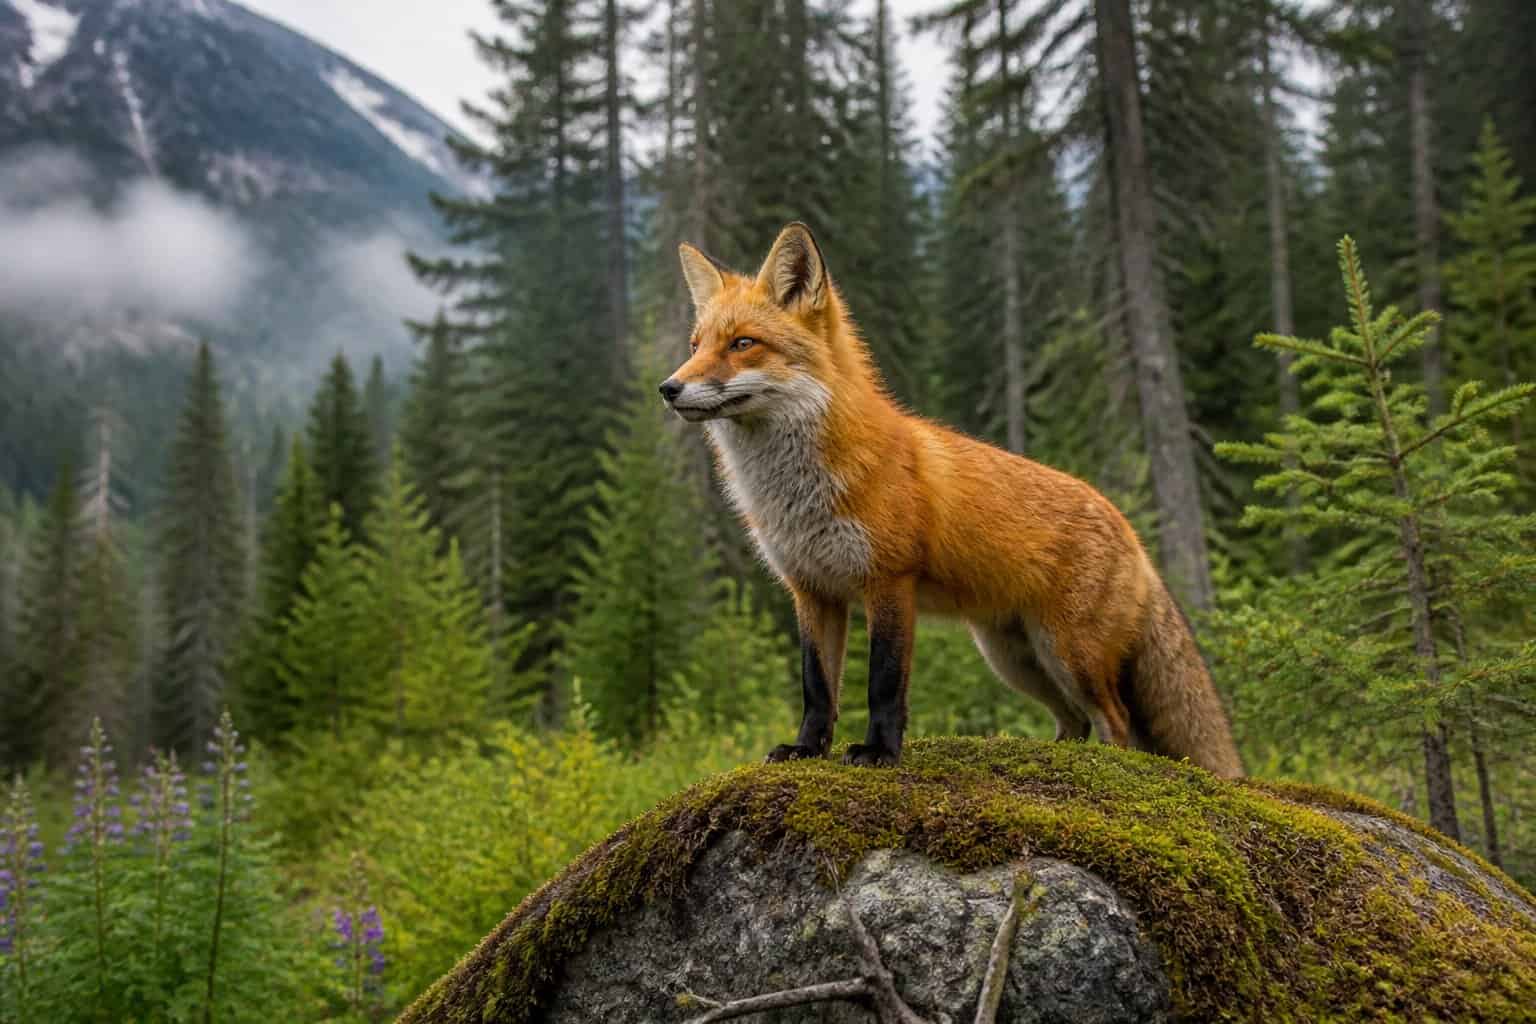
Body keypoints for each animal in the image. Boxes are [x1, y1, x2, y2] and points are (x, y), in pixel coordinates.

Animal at [658, 222, 1243, 777]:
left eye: (743, 344)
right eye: (695, 346)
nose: (668, 388)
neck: (797, 494)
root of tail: (1128, 528)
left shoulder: (890, 583)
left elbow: (883, 685)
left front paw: (880, 752)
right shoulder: (812, 591)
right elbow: (817, 688)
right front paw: (806, 749)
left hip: (1069, 653)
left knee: (1116, 720)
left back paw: (1106, 766)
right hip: (1015, 658)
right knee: (1075, 721)